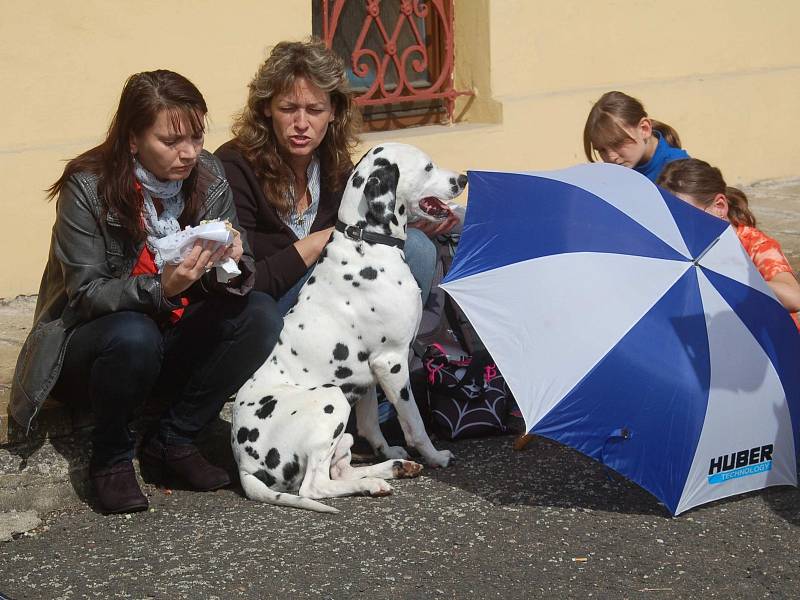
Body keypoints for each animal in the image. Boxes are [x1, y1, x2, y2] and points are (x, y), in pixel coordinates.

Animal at [231, 144, 466, 510]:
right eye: (428, 167)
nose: (464, 179)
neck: (366, 243)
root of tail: (242, 464)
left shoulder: (367, 373)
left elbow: (371, 425)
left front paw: (389, 450)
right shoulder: (392, 362)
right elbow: (413, 422)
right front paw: (434, 456)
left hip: (342, 424)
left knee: (338, 470)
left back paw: (390, 468)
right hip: (333, 399)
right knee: (314, 486)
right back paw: (373, 482)